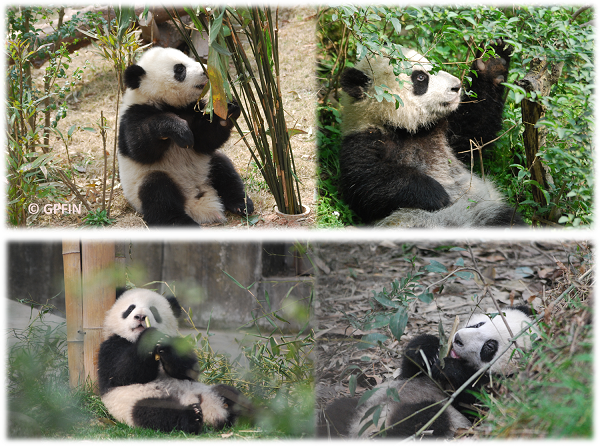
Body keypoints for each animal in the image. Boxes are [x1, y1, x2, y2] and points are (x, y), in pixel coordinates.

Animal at [98, 288, 248, 434]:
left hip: (208, 390)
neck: (135, 339)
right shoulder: (110, 347)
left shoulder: (180, 345)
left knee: (231, 394)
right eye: (130, 308)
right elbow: (121, 373)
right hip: (136, 400)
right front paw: (149, 338)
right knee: (157, 413)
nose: (140, 316)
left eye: (153, 310)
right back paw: (192, 417)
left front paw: (166, 348)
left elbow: (188, 370)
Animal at [118, 48, 254, 226]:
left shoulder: (193, 110)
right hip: (143, 184)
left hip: (206, 166)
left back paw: (242, 204)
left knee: (224, 170)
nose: (206, 71)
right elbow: (140, 146)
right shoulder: (133, 114)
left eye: (190, 59)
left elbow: (206, 140)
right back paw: (182, 223)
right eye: (180, 69)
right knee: (158, 193)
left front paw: (228, 110)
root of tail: (196, 201)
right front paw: (180, 131)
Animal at [318, 306, 540, 440]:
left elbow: (480, 403)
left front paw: (450, 368)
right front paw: (430, 350)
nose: (458, 339)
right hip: (363, 405)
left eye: (489, 347)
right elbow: (411, 369)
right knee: (335, 413)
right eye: (479, 324)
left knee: (424, 419)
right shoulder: (412, 377)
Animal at [340, 44, 524, 228]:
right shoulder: (365, 139)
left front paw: (492, 62)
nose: (456, 86)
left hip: (479, 212)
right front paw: (437, 194)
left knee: (504, 218)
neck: (406, 130)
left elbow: (476, 128)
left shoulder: (445, 132)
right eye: (421, 77)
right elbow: (365, 183)